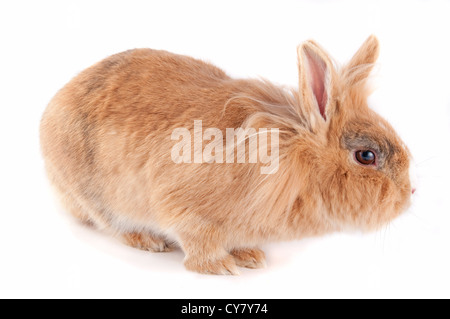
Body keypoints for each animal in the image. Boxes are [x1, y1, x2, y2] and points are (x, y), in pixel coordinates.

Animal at [40, 35, 414, 276]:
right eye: (366, 156)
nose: (410, 194)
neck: (289, 161)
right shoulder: (185, 210)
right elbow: (197, 242)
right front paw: (220, 267)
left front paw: (251, 257)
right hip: (96, 196)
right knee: (112, 224)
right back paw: (148, 241)